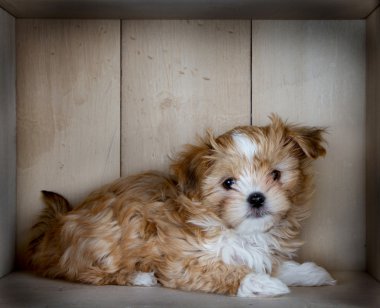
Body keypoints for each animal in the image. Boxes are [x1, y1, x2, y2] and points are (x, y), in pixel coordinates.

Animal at [27, 115, 336, 296]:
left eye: (276, 174)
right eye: (228, 183)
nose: (256, 197)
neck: (237, 231)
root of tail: (57, 224)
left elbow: (269, 262)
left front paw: (308, 272)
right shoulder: (180, 260)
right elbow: (220, 270)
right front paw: (261, 283)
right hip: (103, 239)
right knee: (83, 273)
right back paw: (140, 278)